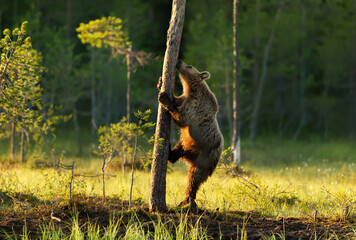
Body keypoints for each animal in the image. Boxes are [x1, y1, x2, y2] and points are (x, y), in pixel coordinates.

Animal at [158, 60, 222, 212]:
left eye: (190, 66)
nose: (179, 61)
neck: (191, 90)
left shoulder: (196, 106)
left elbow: (182, 118)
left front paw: (164, 98)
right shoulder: (184, 99)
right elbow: (176, 100)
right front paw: (160, 82)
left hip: (207, 156)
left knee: (195, 176)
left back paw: (188, 199)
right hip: (187, 145)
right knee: (178, 151)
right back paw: (169, 149)